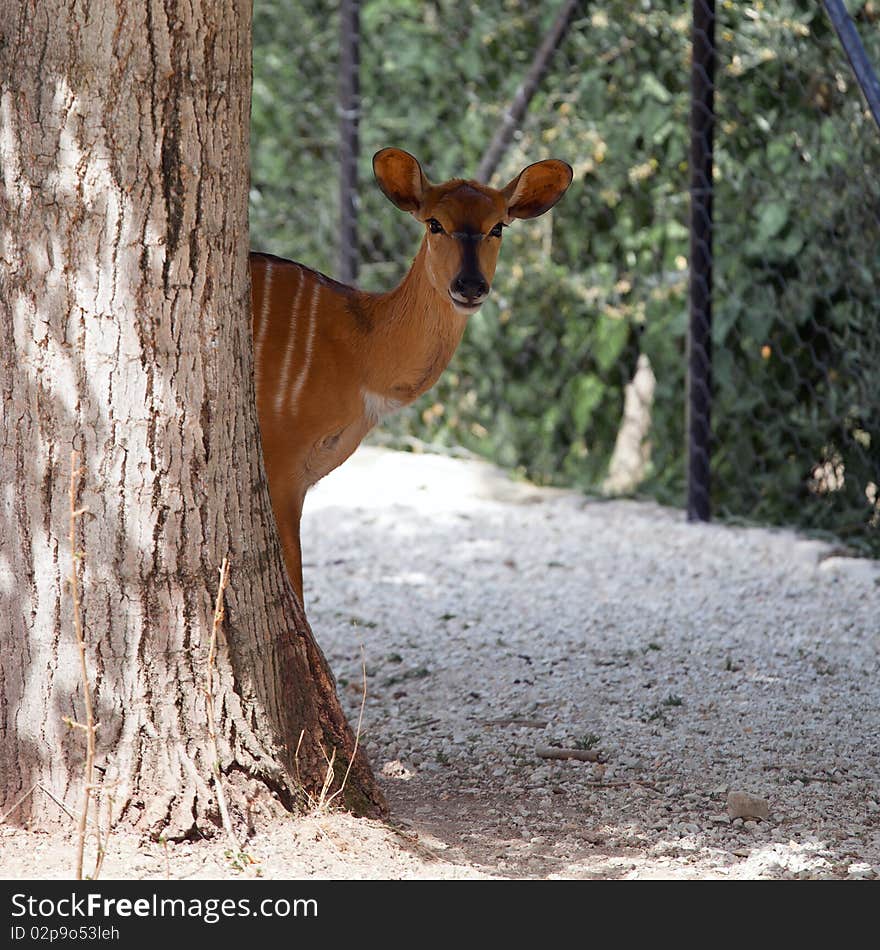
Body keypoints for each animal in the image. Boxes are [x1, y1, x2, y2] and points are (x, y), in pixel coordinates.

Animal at [251, 149, 576, 608]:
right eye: (434, 223)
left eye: (498, 226)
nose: (470, 286)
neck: (359, 352)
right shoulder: (281, 466)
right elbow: (295, 584)